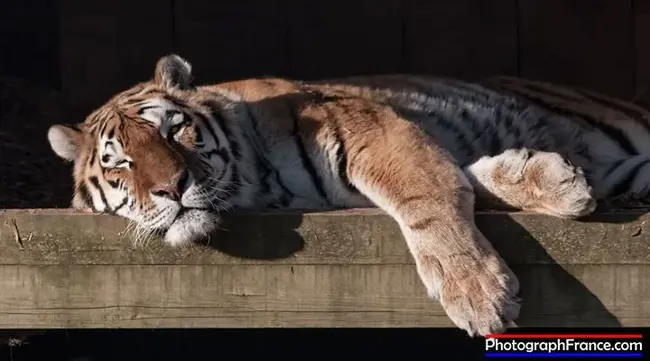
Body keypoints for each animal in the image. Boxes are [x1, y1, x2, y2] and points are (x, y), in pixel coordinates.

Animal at [48, 54, 648, 336]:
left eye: (174, 130)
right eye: (120, 163)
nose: (173, 188)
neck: (257, 185)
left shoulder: (369, 126)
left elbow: (424, 194)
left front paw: (479, 295)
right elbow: (463, 176)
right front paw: (556, 180)